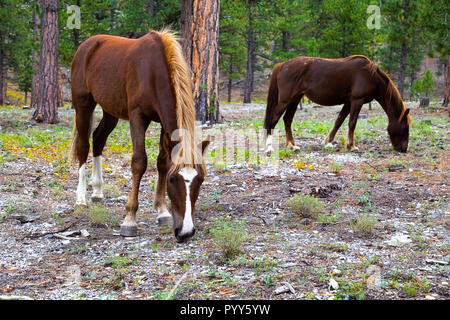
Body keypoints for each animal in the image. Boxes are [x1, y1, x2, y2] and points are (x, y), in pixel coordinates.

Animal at [69, 29, 210, 242]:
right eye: (173, 180)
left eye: (200, 180)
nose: (185, 232)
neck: (153, 71)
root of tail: (87, 45)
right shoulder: (137, 116)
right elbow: (139, 162)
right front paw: (129, 220)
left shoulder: (162, 122)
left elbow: (162, 162)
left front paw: (162, 211)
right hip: (83, 105)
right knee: (84, 146)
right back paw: (80, 198)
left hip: (111, 110)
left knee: (99, 139)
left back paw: (98, 191)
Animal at [264, 55, 412, 154]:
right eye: (405, 128)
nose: (404, 149)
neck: (371, 76)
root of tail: (283, 65)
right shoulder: (357, 101)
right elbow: (352, 123)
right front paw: (351, 146)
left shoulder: (348, 102)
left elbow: (338, 121)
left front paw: (328, 142)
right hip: (285, 100)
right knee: (273, 120)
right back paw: (269, 147)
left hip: (295, 99)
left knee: (287, 119)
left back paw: (292, 145)